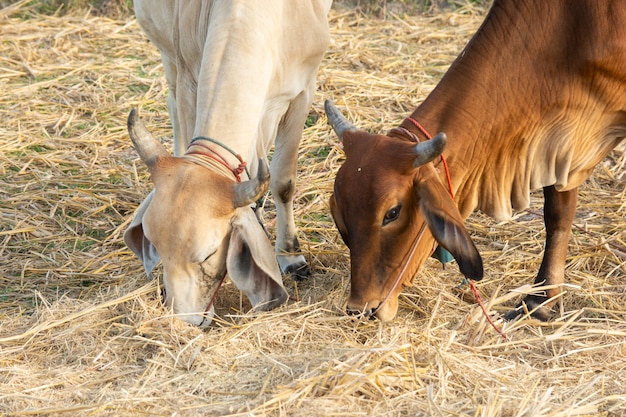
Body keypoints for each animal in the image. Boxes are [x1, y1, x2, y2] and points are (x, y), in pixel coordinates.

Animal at [125, 0, 334, 324]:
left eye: (209, 255)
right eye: (156, 246)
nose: (185, 321)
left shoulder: (302, 93)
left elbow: (283, 183)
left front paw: (291, 256)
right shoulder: (188, 78)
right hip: (168, 55)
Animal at [324, 0, 624, 322]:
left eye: (392, 213)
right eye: (340, 213)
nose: (360, 309)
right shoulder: (561, 141)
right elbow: (557, 213)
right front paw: (542, 298)